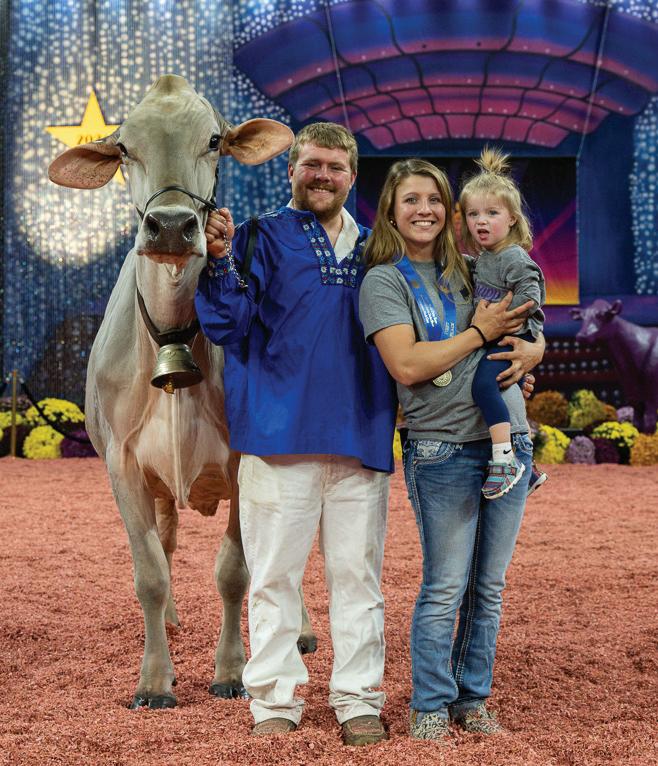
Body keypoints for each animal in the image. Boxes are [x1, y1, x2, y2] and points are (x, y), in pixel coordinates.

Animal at [48, 75, 316, 709]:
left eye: (214, 140)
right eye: (123, 147)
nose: (170, 225)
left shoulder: (246, 459)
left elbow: (235, 571)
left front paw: (231, 670)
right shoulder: (121, 464)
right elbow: (149, 569)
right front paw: (153, 680)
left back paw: (301, 629)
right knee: (168, 543)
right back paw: (169, 620)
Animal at [571, 299, 658, 433]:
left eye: (602, 315)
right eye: (583, 317)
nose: (581, 336)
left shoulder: (651, 393)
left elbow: (649, 422)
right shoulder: (632, 391)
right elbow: (637, 421)